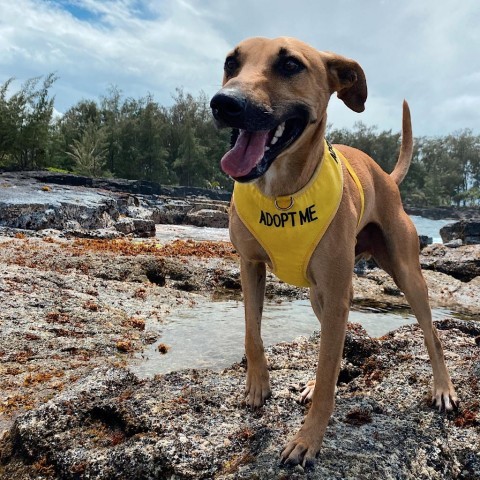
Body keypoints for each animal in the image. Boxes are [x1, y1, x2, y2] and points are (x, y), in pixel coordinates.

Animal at [210, 37, 458, 468]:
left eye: (290, 65)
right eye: (231, 63)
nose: (224, 103)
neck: (282, 193)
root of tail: (385, 176)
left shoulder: (339, 292)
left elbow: (329, 373)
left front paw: (308, 438)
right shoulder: (250, 265)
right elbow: (253, 333)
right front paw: (258, 386)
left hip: (406, 275)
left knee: (432, 336)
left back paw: (442, 388)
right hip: (318, 294)